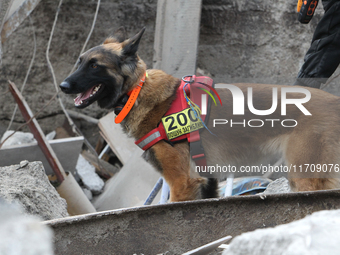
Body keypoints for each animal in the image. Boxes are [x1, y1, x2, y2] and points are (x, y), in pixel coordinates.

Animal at [60, 27, 340, 201]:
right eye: (79, 62)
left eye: (94, 65)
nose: (63, 86)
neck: (137, 91)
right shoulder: (207, 181)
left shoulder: (182, 182)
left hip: (306, 177)